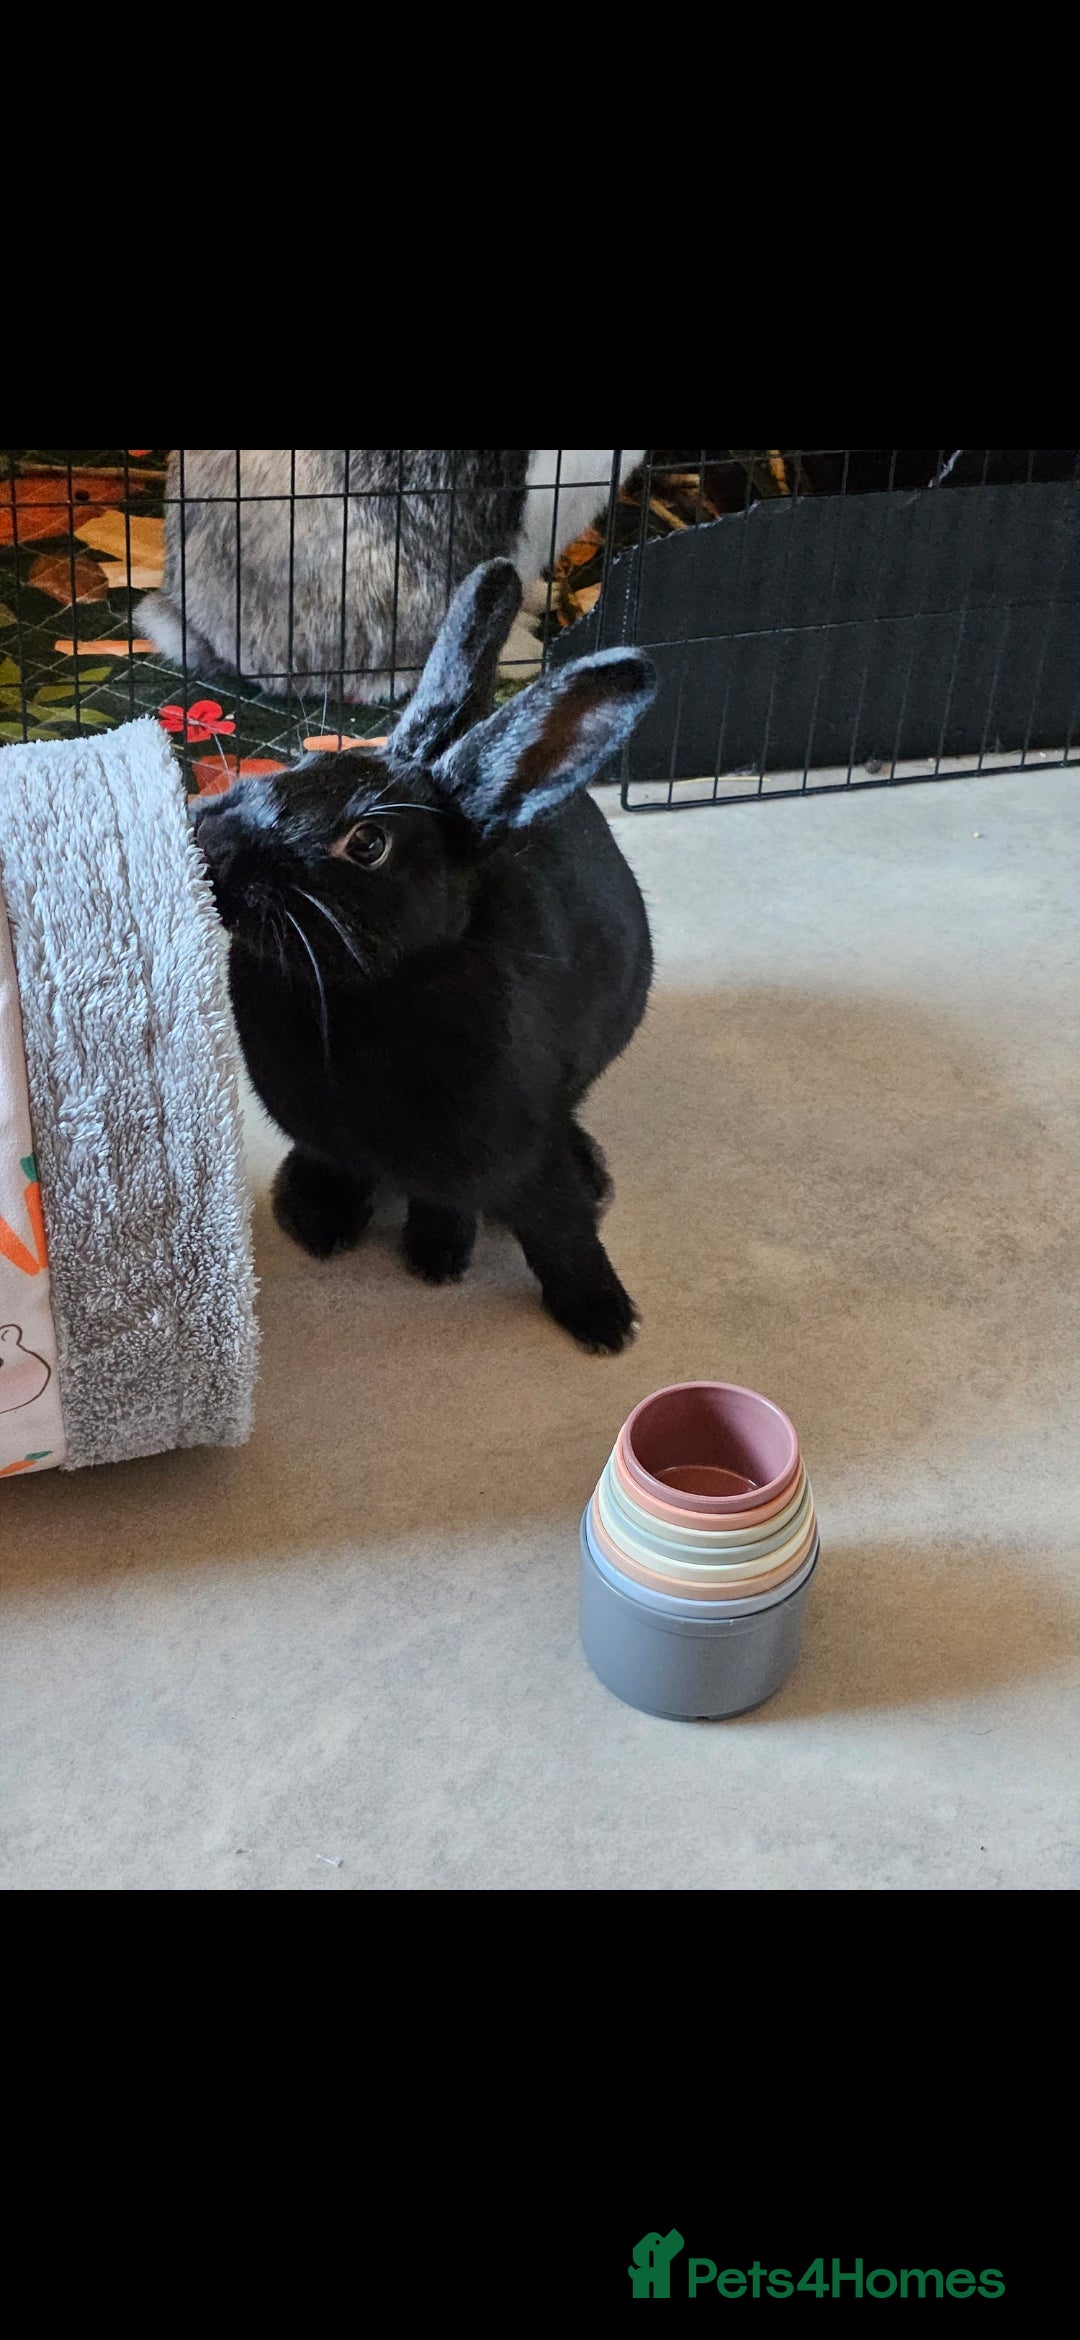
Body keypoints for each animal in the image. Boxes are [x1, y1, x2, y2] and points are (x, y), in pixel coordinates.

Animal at [191, 558, 656, 1354]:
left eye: (368, 844)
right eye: (291, 767)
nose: (213, 840)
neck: (368, 996)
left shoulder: (520, 1154)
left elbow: (560, 1230)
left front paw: (605, 1323)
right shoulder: (328, 1140)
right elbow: (340, 1172)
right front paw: (314, 1223)